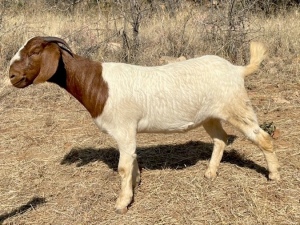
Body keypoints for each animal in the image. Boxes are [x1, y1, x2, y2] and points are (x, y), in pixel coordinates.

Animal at [9, 36, 282, 214]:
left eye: (34, 52)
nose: (11, 76)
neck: (98, 83)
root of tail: (238, 70)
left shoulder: (123, 128)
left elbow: (122, 166)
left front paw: (122, 203)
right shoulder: (128, 132)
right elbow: (132, 160)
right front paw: (135, 183)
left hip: (236, 106)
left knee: (263, 137)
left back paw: (274, 176)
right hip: (210, 115)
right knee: (220, 139)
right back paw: (210, 172)